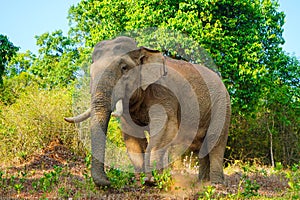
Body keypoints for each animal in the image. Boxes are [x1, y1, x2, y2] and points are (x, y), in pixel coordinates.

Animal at [64, 35, 231, 186]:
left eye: (124, 68)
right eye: (90, 73)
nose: (107, 181)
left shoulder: (164, 93)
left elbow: (166, 128)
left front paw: (152, 180)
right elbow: (132, 135)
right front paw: (141, 181)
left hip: (223, 105)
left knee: (215, 139)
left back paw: (215, 184)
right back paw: (202, 183)